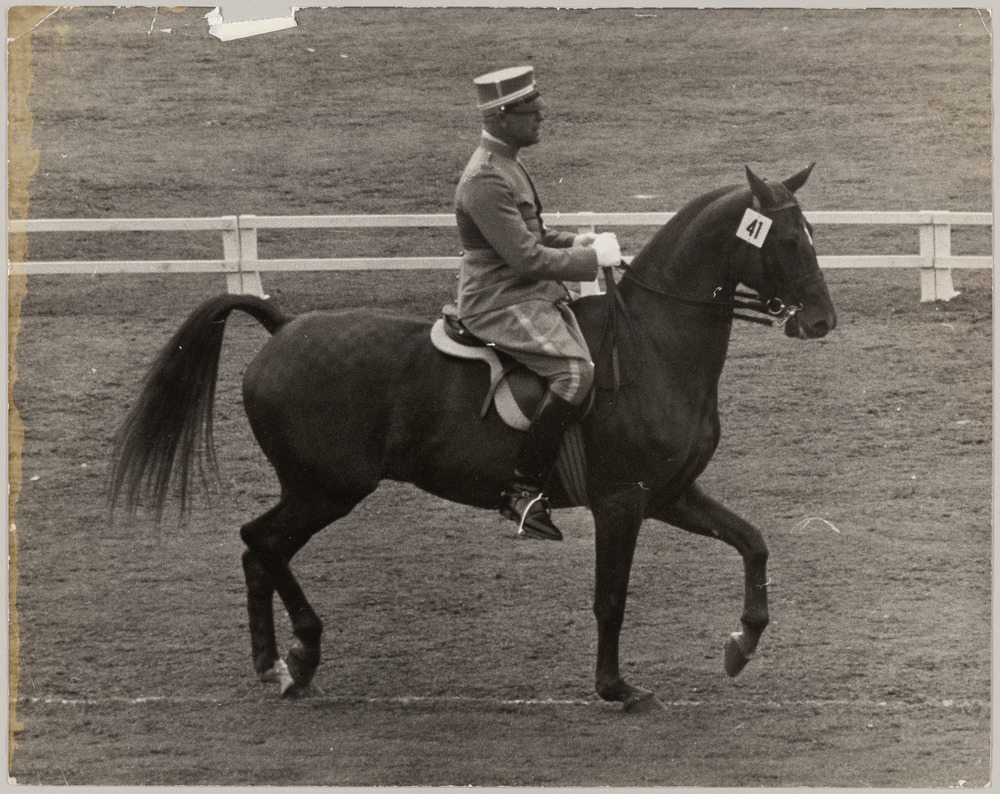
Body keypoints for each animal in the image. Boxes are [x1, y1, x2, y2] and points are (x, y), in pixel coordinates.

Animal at [110, 164, 836, 713]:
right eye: (787, 241)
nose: (822, 320)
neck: (653, 343)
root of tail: (284, 328)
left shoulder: (669, 494)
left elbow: (753, 542)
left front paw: (742, 643)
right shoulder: (623, 501)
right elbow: (610, 598)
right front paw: (617, 687)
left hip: (315, 490)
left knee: (258, 552)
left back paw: (273, 665)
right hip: (327, 489)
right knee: (260, 543)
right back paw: (301, 653)